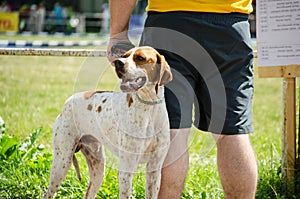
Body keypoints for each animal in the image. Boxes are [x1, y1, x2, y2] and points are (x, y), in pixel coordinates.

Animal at [43, 45, 172, 198]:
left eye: (140, 58)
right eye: (124, 55)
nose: (118, 63)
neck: (149, 109)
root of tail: (68, 101)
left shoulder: (154, 169)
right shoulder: (126, 170)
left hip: (98, 168)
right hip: (62, 163)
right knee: (47, 193)